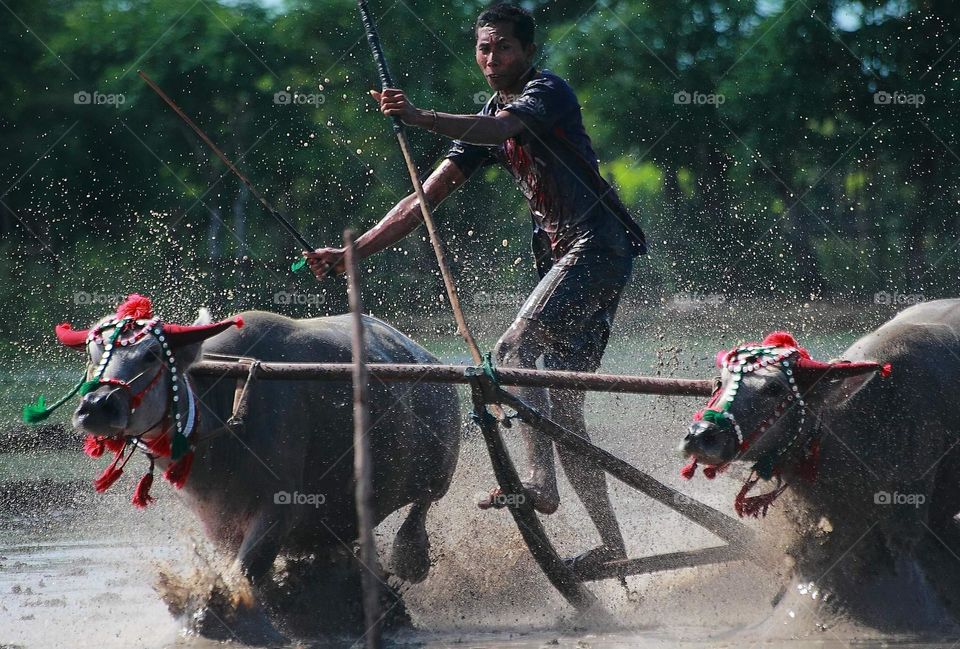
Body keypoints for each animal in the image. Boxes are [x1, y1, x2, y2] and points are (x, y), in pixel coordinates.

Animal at [49, 296, 462, 632]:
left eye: (151, 355)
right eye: (93, 353)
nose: (96, 407)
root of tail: (424, 356)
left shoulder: (277, 508)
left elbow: (246, 571)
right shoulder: (217, 521)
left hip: (439, 470)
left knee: (421, 511)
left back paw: (409, 558)